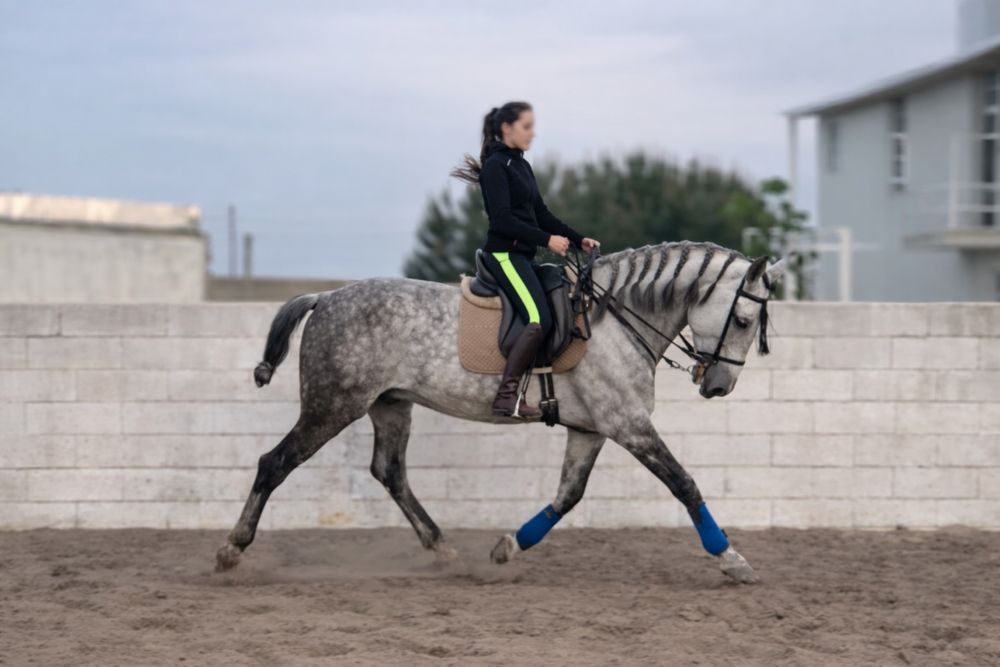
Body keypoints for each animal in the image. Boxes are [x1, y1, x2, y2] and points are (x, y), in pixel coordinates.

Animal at [215, 241, 786, 584]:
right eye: (742, 319)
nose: (718, 386)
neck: (616, 319)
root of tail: (327, 297)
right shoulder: (628, 424)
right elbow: (684, 483)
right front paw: (732, 559)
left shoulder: (593, 429)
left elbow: (567, 496)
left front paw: (508, 548)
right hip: (333, 406)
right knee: (274, 464)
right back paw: (231, 550)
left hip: (389, 406)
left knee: (390, 472)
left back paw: (443, 550)